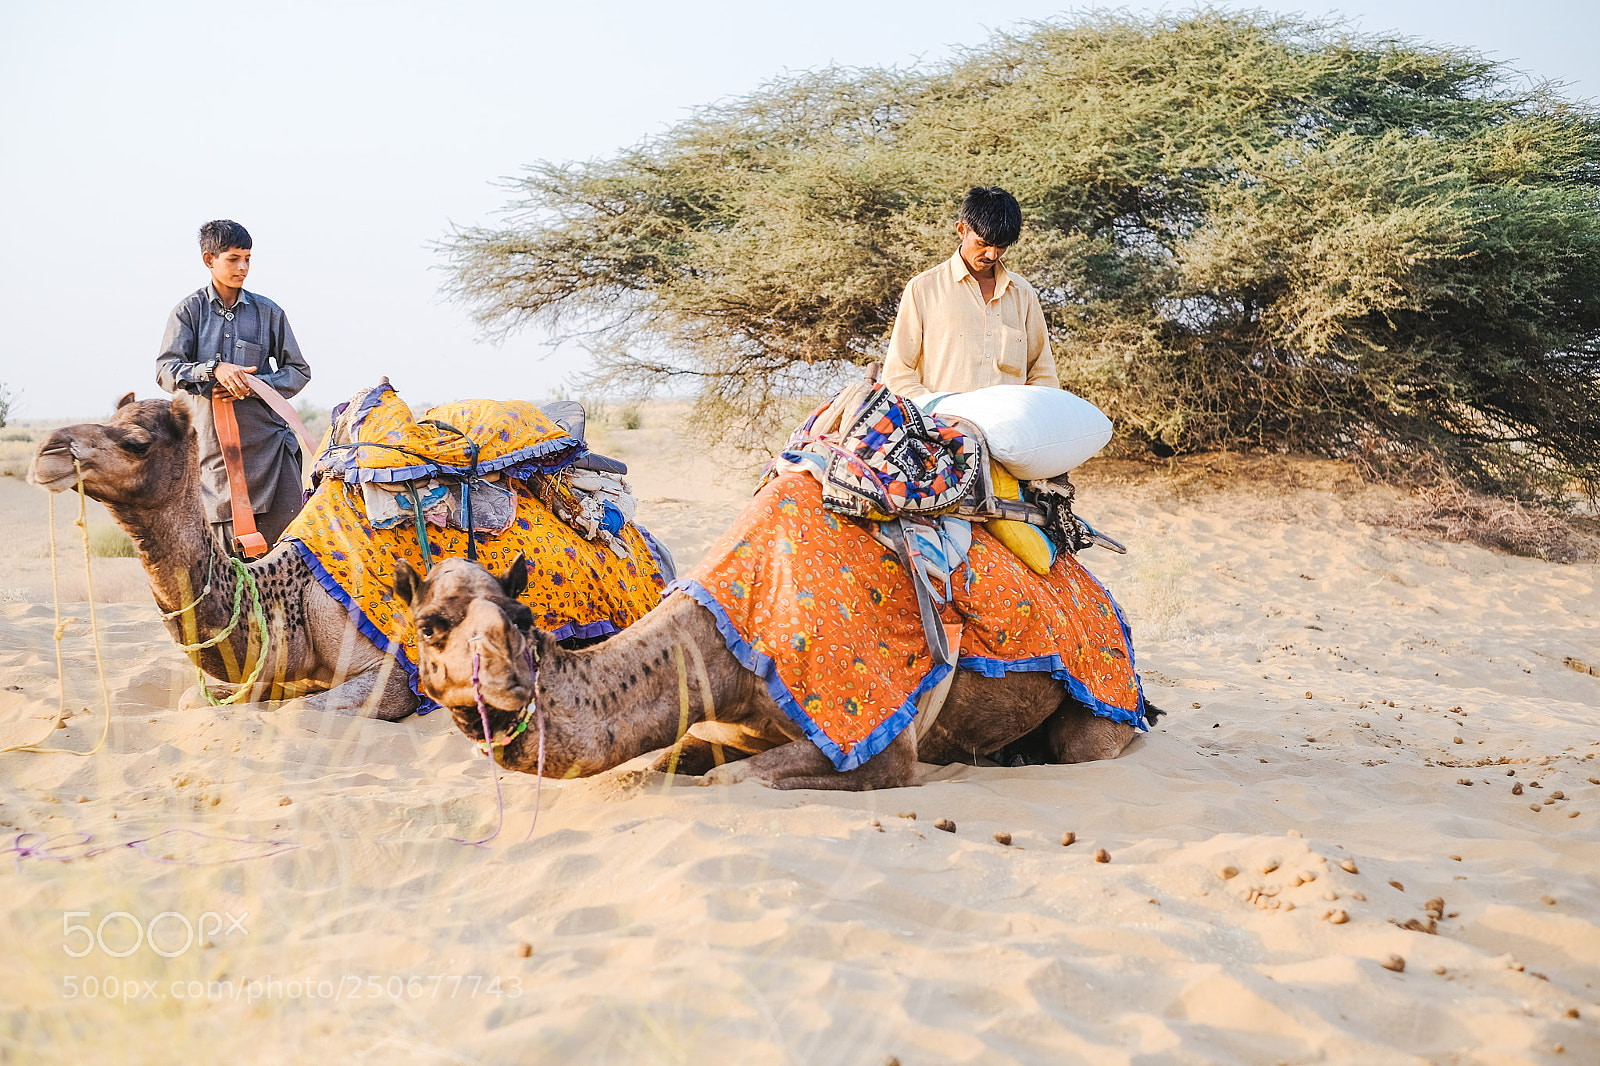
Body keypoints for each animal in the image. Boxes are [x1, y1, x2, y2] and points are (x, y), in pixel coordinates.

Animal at [394, 553, 1150, 790]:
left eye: (523, 616)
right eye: (429, 625)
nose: (505, 685)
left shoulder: (879, 744)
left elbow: (728, 781)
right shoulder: (723, 727)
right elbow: (662, 764)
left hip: (1103, 699)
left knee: (1088, 743)